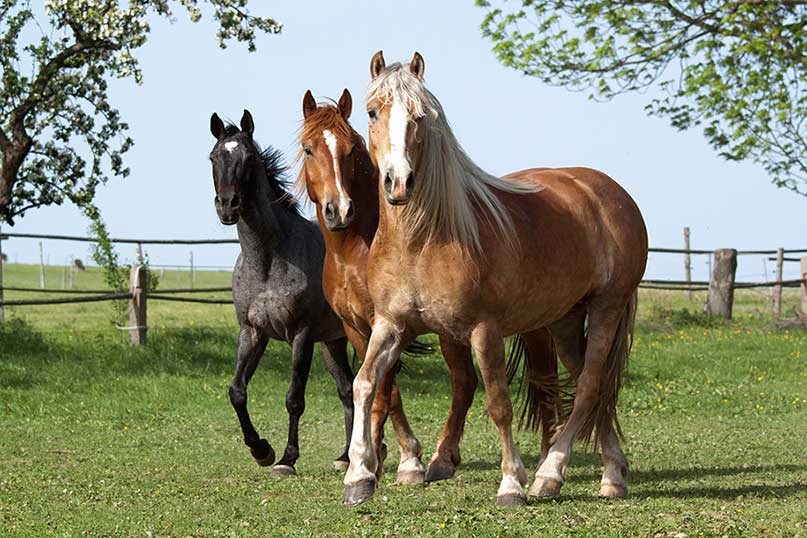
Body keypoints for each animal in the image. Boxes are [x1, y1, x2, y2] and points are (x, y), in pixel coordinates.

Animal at [208, 109, 354, 474]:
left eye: (248, 157)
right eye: (214, 157)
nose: (227, 205)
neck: (268, 260)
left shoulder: (301, 335)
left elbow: (294, 398)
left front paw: (287, 459)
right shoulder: (252, 332)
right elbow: (236, 391)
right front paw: (261, 450)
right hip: (333, 343)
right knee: (349, 390)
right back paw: (346, 456)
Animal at [296, 90, 560, 484]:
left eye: (352, 149)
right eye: (309, 149)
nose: (339, 210)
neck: (354, 250)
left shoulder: (384, 322)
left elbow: (387, 392)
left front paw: (403, 459)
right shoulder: (356, 327)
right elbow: (378, 389)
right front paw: (374, 456)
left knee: (521, 380)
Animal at [342, 51, 652, 506]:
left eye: (420, 116)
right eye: (372, 112)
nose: (399, 183)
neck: (423, 240)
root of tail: (611, 194)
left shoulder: (484, 330)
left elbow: (498, 403)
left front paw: (511, 484)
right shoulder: (390, 326)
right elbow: (365, 385)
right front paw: (359, 476)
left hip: (606, 308)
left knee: (590, 386)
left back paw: (550, 474)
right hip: (565, 320)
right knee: (590, 387)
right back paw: (611, 474)